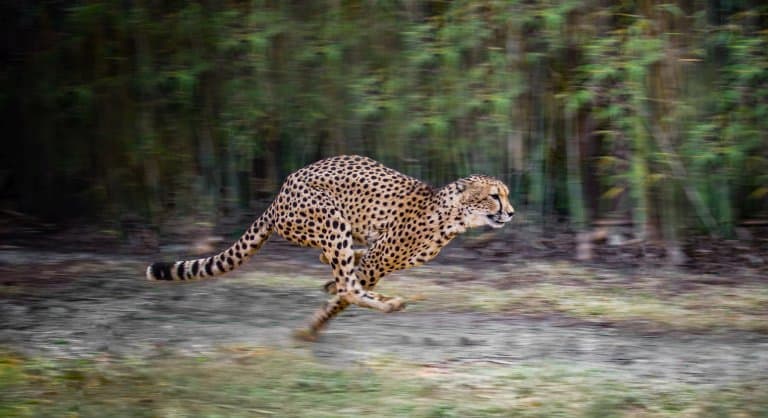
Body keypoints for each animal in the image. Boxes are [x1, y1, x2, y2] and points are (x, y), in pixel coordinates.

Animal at [146, 156, 512, 340]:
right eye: (495, 195)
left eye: (505, 195)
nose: (510, 212)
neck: (453, 216)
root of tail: (280, 191)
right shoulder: (378, 258)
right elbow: (344, 293)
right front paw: (314, 325)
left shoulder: (376, 257)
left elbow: (345, 276)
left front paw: (324, 296)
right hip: (330, 219)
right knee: (349, 285)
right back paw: (387, 303)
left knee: (343, 270)